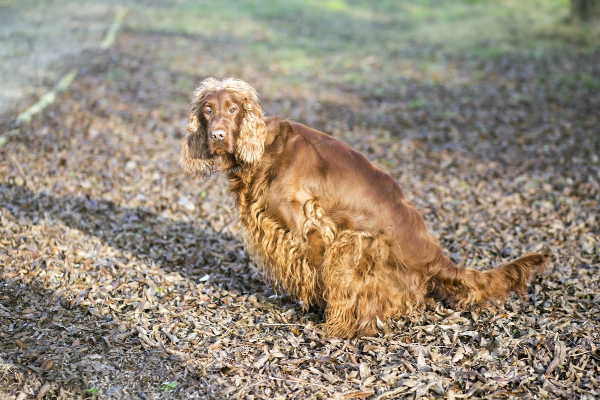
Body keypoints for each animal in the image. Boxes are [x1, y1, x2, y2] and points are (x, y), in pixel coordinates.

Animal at [179, 77, 548, 338]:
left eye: (233, 109)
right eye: (208, 110)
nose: (218, 135)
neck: (265, 150)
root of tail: (436, 258)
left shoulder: (311, 225)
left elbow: (317, 272)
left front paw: (320, 310)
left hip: (356, 243)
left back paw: (339, 328)